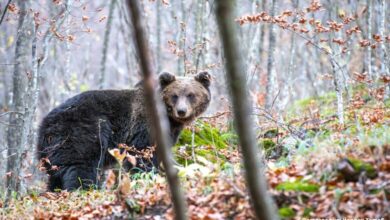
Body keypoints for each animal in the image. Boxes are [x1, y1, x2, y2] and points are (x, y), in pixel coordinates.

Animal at [37, 72, 210, 191]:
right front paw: (145, 177)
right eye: (175, 95)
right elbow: (142, 156)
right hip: (83, 132)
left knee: (56, 175)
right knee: (80, 167)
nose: (181, 111)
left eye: (191, 95)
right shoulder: (143, 128)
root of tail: (45, 125)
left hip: (53, 151)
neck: (168, 119)